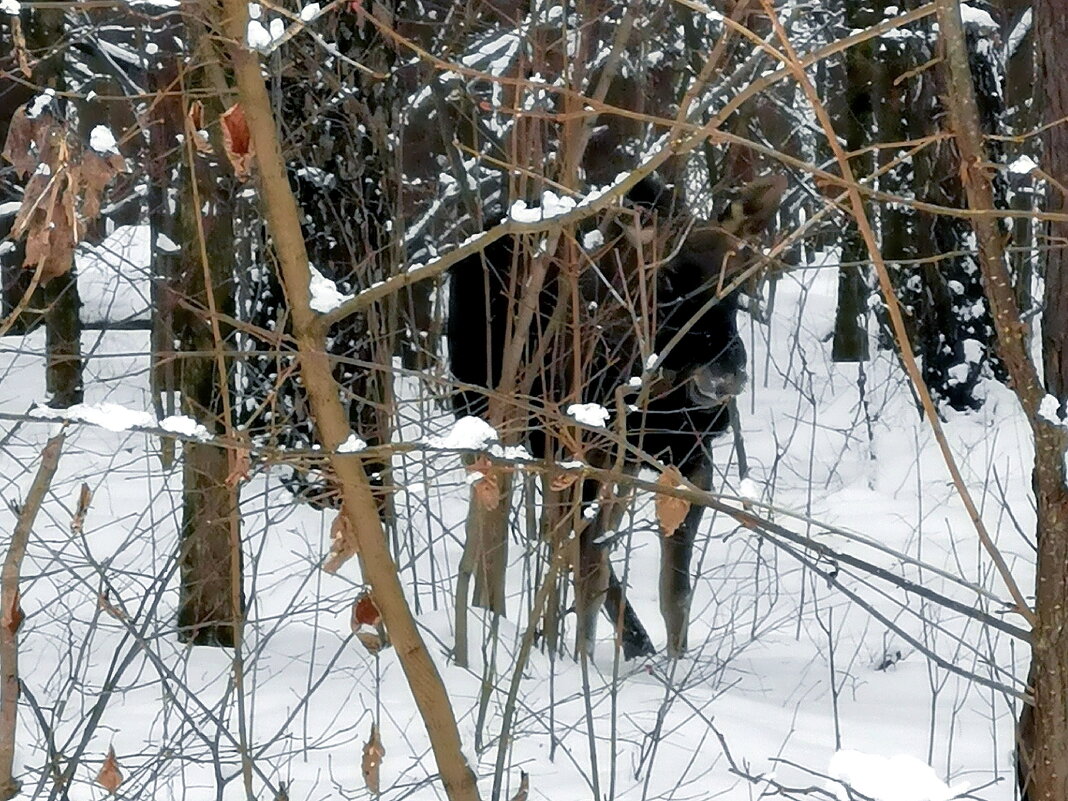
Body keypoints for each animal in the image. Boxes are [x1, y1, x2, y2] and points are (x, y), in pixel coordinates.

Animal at [442, 173, 786, 662]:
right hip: (488, 418)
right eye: (667, 279)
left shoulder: (690, 459)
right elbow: (590, 574)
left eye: (740, 278)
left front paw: (677, 661)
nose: (725, 374)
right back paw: (489, 622)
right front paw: (582, 662)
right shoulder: (585, 456)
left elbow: (675, 591)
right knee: (503, 535)